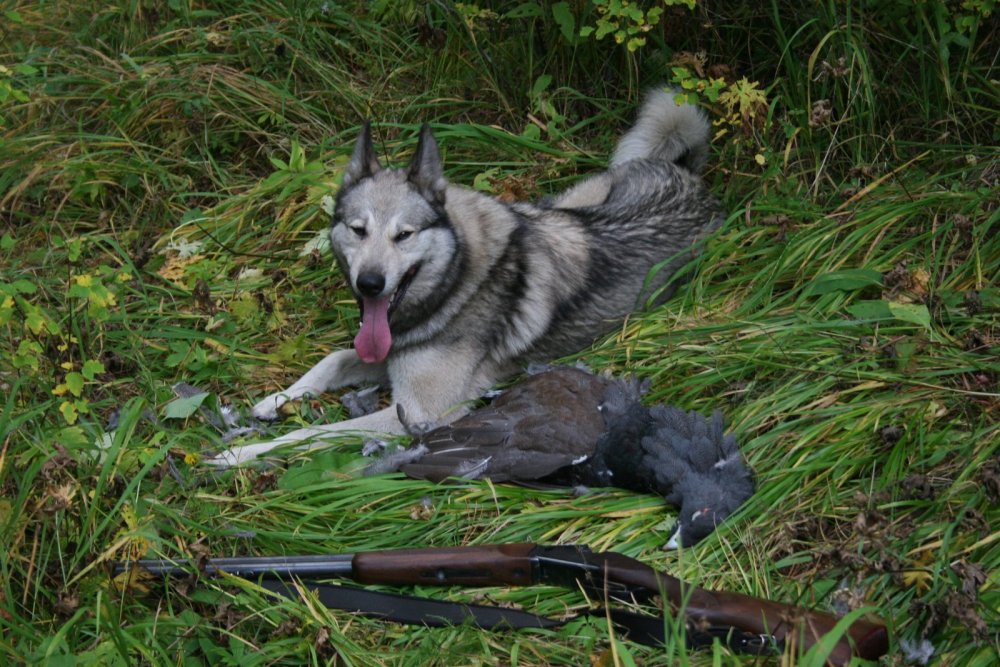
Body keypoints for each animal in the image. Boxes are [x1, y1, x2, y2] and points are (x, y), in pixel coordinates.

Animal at [213, 87, 728, 464]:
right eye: (358, 230)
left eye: (404, 235)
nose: (370, 284)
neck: (456, 282)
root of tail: (686, 174)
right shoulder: (388, 352)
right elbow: (332, 360)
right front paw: (275, 399)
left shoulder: (421, 414)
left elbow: (314, 434)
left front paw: (243, 451)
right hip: (569, 202)